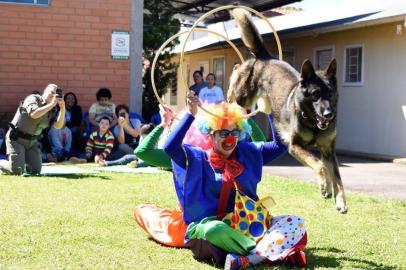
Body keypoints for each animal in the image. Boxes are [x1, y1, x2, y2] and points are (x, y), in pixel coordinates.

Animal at [227, 9, 348, 214]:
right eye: (315, 94)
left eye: (330, 94)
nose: (329, 115)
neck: (311, 122)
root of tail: (267, 58)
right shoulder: (294, 146)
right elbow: (319, 165)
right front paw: (325, 186)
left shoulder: (328, 150)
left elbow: (337, 177)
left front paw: (340, 200)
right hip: (243, 96)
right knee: (235, 73)